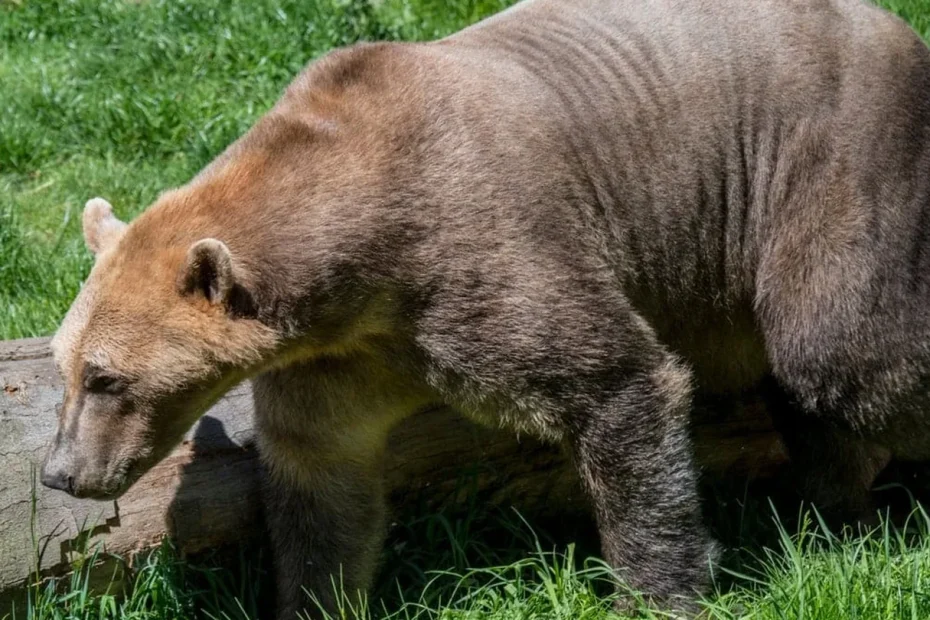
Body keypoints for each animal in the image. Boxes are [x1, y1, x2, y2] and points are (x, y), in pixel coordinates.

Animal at [39, 0, 930, 616]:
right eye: (65, 368)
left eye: (109, 378)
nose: (62, 473)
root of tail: (895, 27)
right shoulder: (341, 358)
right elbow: (322, 485)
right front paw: (319, 594)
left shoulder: (482, 255)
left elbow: (619, 384)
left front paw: (655, 590)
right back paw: (835, 511)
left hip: (828, 162)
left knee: (841, 351)